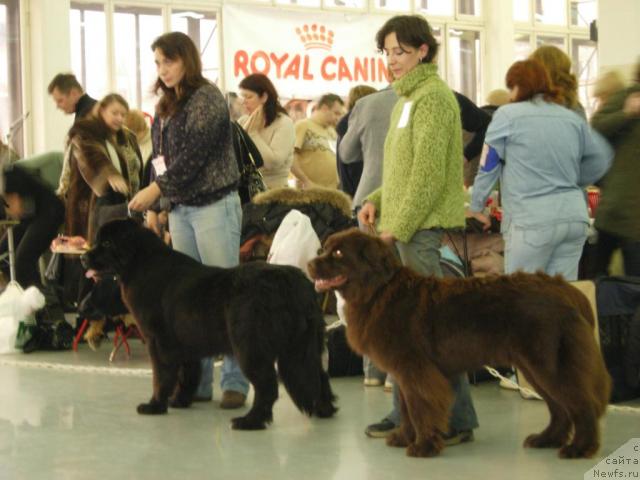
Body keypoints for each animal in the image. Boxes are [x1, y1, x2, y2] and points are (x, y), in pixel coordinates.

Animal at [82, 219, 338, 430]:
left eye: (106, 242)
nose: (84, 258)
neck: (139, 262)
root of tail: (295, 283)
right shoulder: (185, 346)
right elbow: (188, 376)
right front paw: (180, 401)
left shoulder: (159, 342)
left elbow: (162, 377)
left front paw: (154, 405)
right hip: (302, 348)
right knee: (320, 376)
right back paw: (325, 410)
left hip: (251, 347)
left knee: (267, 386)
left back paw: (250, 422)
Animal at [308, 231, 608, 460]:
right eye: (325, 249)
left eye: (338, 254)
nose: (310, 263)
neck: (378, 290)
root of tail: (564, 288)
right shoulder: (404, 373)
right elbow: (406, 409)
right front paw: (404, 438)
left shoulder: (416, 371)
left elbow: (420, 407)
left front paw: (424, 446)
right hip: (533, 368)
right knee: (559, 408)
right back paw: (546, 439)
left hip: (549, 365)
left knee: (582, 404)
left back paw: (579, 448)